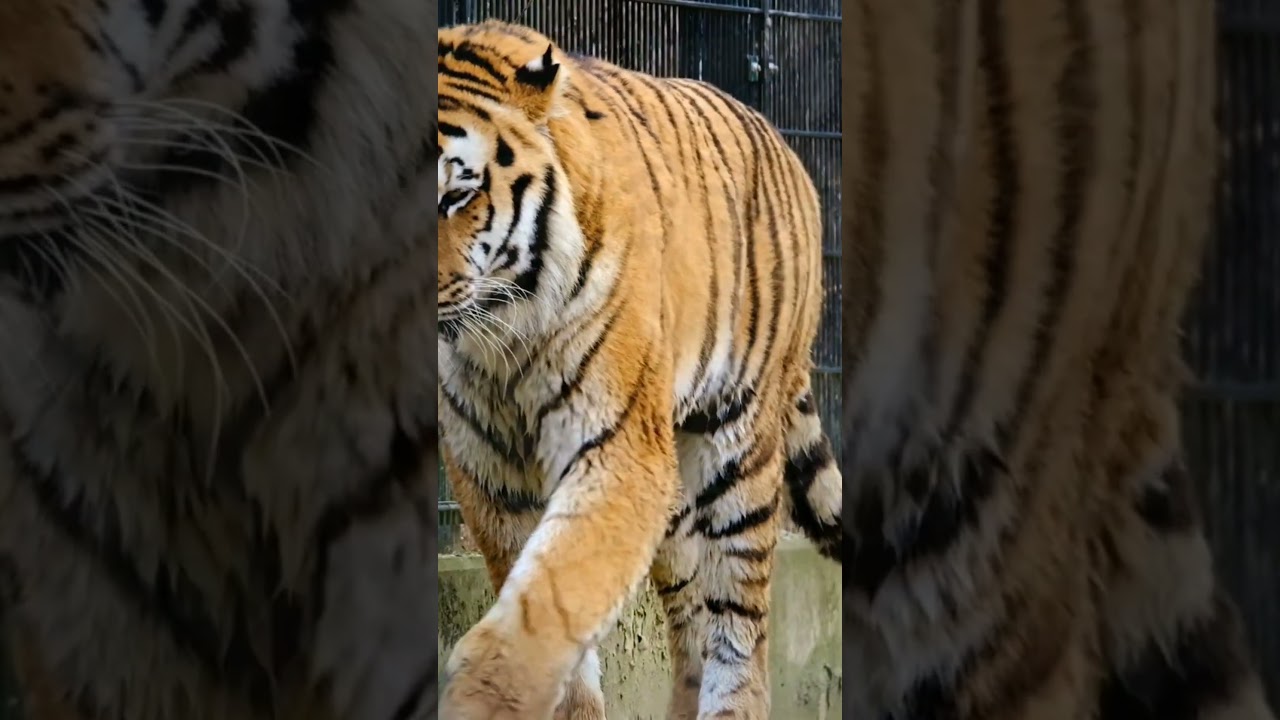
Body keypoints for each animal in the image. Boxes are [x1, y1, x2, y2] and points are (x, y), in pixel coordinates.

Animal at [436, 20, 843, 720]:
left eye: (457, 194)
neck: (499, 337)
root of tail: (783, 144)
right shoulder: (487, 469)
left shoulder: (617, 449)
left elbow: (551, 597)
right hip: (674, 498)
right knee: (690, 621)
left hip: (738, 448)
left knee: (740, 620)